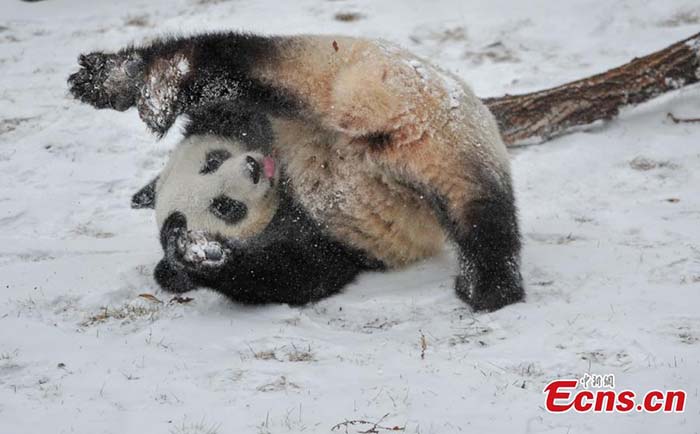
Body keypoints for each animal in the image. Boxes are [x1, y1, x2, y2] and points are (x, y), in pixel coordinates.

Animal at [68, 34, 524, 312]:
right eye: (225, 206)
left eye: (212, 161)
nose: (253, 168)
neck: (284, 187)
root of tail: (381, 117)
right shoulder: (331, 239)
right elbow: (291, 274)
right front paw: (199, 255)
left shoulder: (257, 122)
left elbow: (221, 101)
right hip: (447, 156)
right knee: (483, 221)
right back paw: (488, 285)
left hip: (320, 70)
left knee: (231, 62)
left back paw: (134, 82)